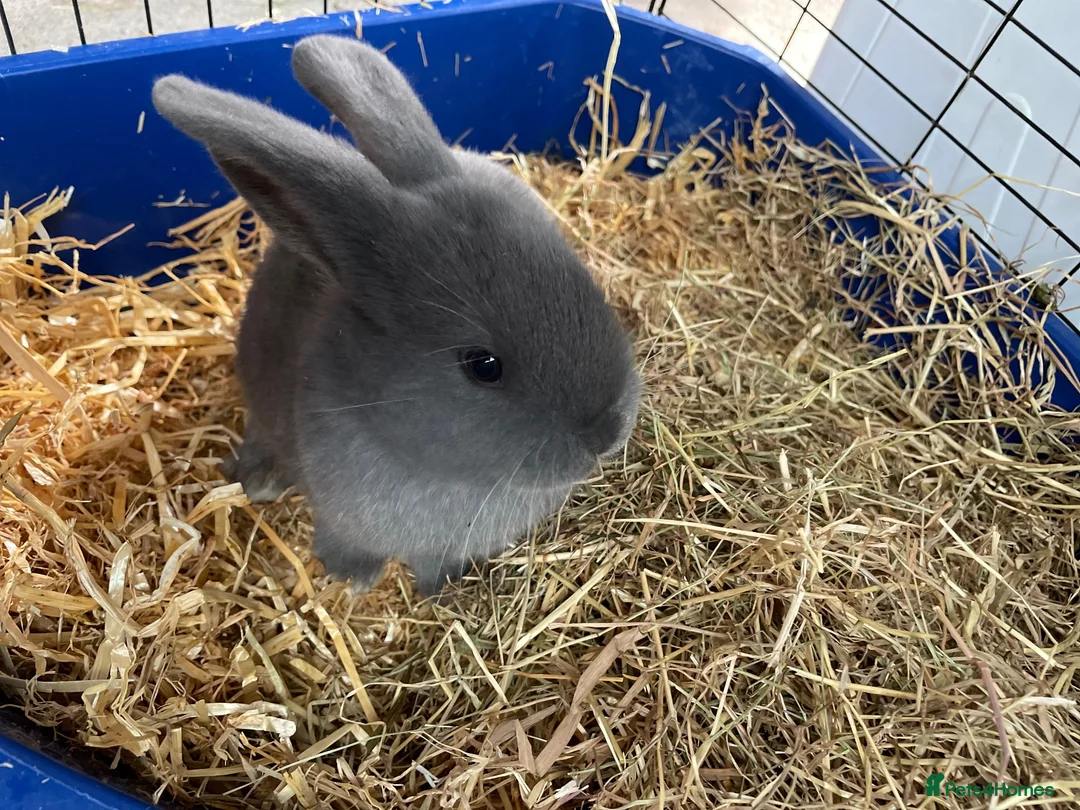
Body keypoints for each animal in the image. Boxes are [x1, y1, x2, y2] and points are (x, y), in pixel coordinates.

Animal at [151, 33, 641, 599]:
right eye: (483, 365)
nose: (607, 434)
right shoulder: (341, 519)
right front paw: (352, 580)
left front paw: (443, 587)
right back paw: (259, 480)